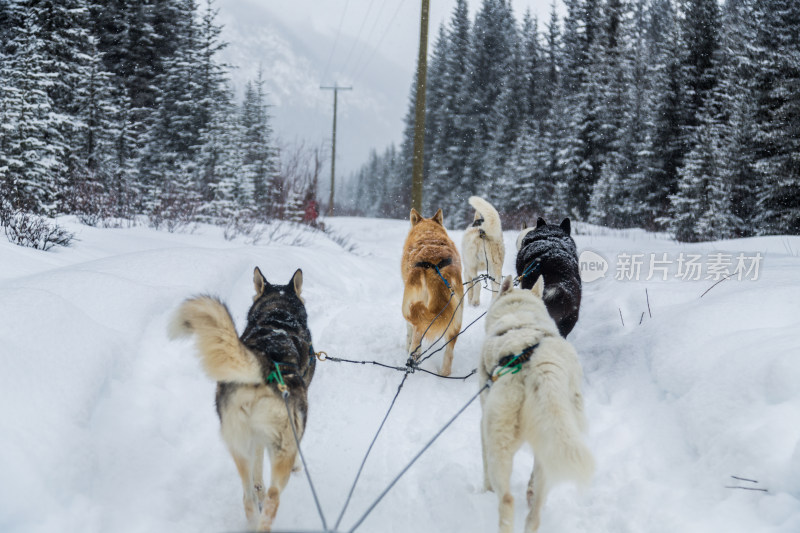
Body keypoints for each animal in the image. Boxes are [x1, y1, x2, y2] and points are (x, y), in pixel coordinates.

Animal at [169, 268, 316, 528]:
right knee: (273, 499)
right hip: (283, 448)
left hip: (239, 445)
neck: (278, 318)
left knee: (248, 496)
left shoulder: (255, 440)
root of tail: (266, 364)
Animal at [404, 206, 466, 376]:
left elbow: (408, 330)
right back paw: (444, 375)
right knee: (448, 354)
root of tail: (434, 265)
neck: (429, 234)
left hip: (413, 309)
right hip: (456, 318)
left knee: (416, 339)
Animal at [478, 274, 592, 532]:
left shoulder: (483, 422)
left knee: (506, 499)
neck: (520, 311)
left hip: (499, 439)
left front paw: (485, 489)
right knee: (535, 512)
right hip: (553, 438)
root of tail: (537, 367)